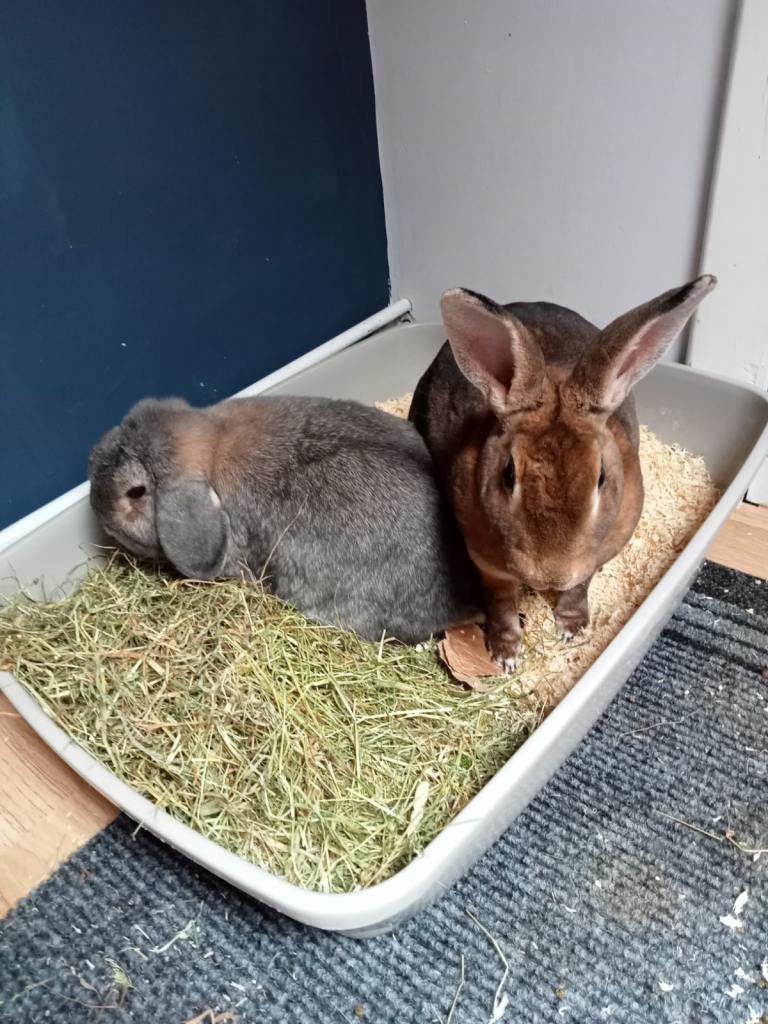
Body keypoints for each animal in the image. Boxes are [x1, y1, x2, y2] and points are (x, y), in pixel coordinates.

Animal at [408, 275, 717, 671]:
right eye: (508, 474)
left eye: (601, 478)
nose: (550, 575)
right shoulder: (488, 563)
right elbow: (501, 604)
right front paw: (506, 655)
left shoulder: (595, 555)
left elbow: (578, 588)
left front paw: (572, 629)